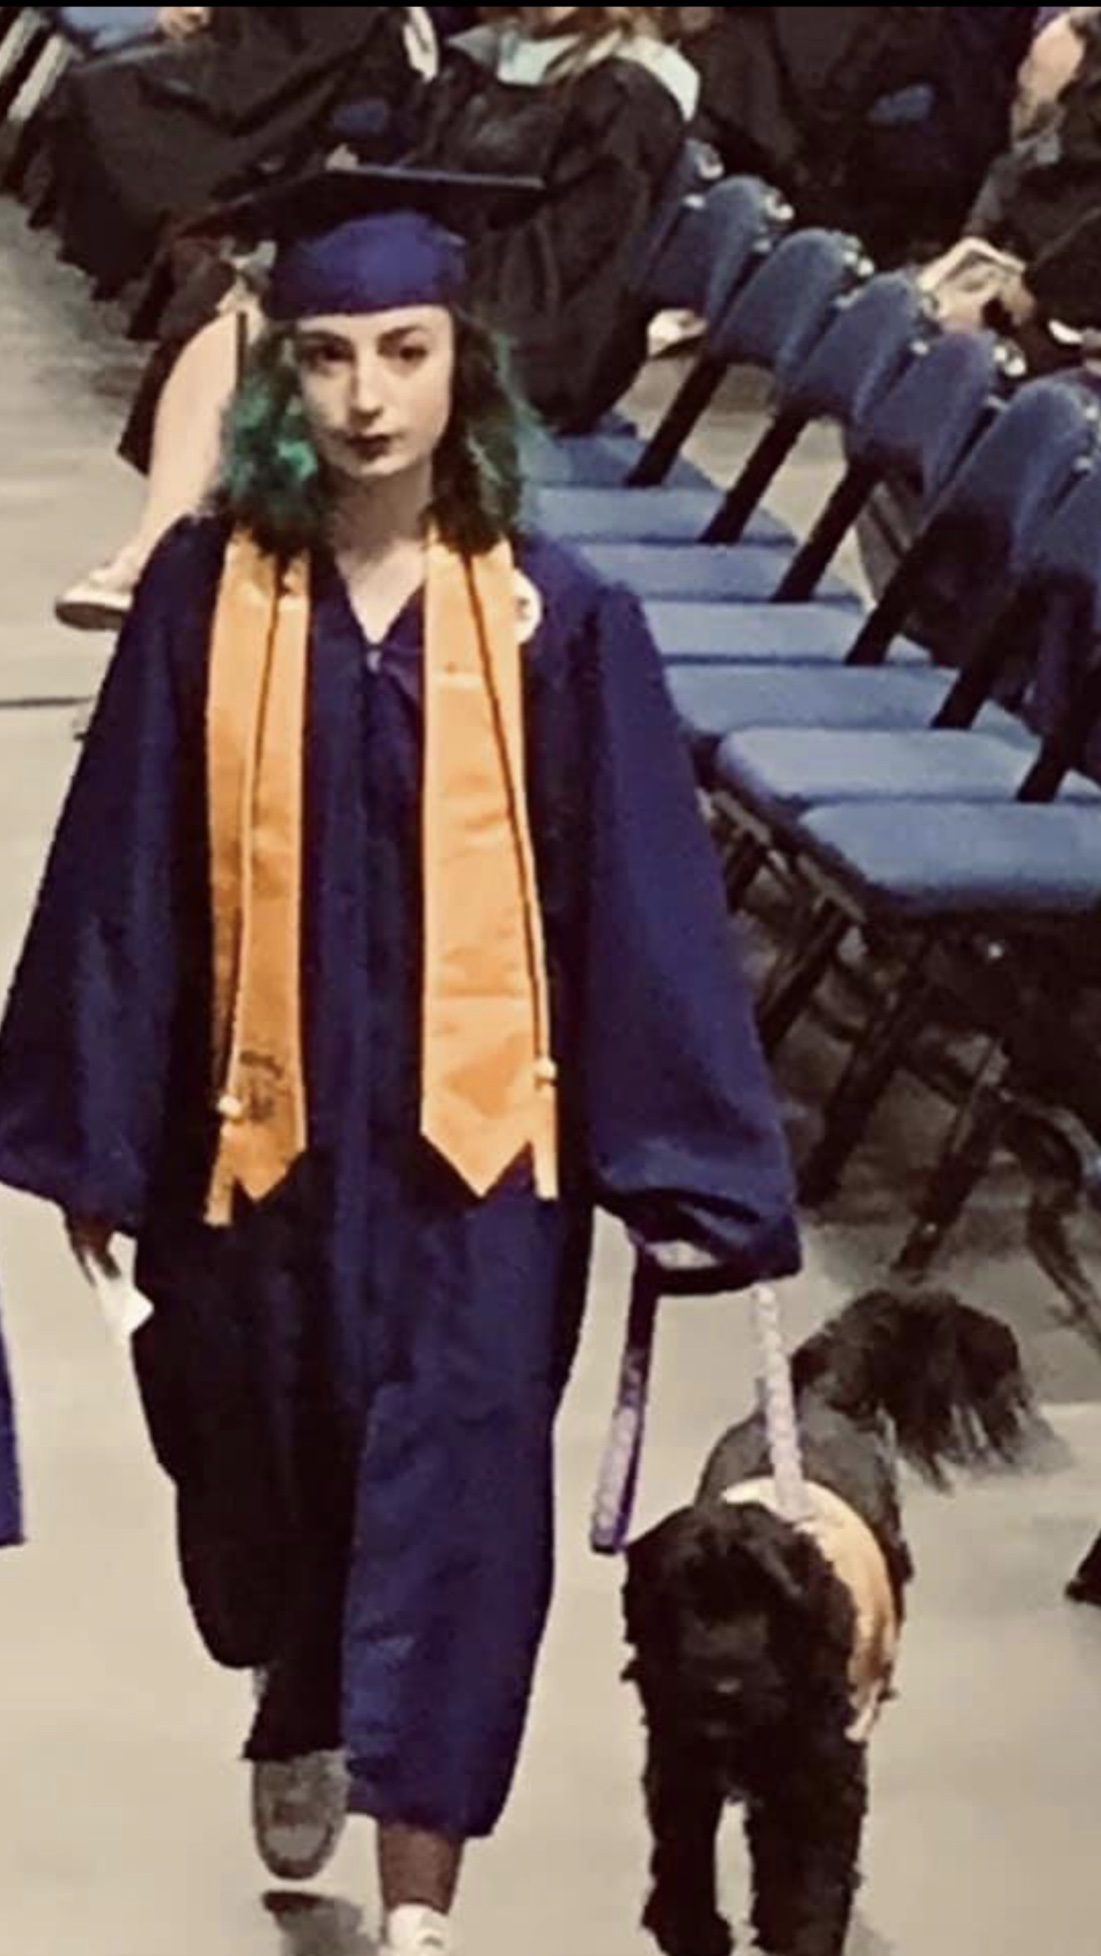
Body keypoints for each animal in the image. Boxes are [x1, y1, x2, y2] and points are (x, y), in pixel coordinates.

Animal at [622, 1287, 1040, 1956]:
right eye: (682, 1600)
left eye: (772, 1601)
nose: (723, 1688)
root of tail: (818, 1399)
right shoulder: (680, 1759)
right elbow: (684, 1853)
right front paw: (692, 1926)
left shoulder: (820, 1786)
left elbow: (809, 1886)